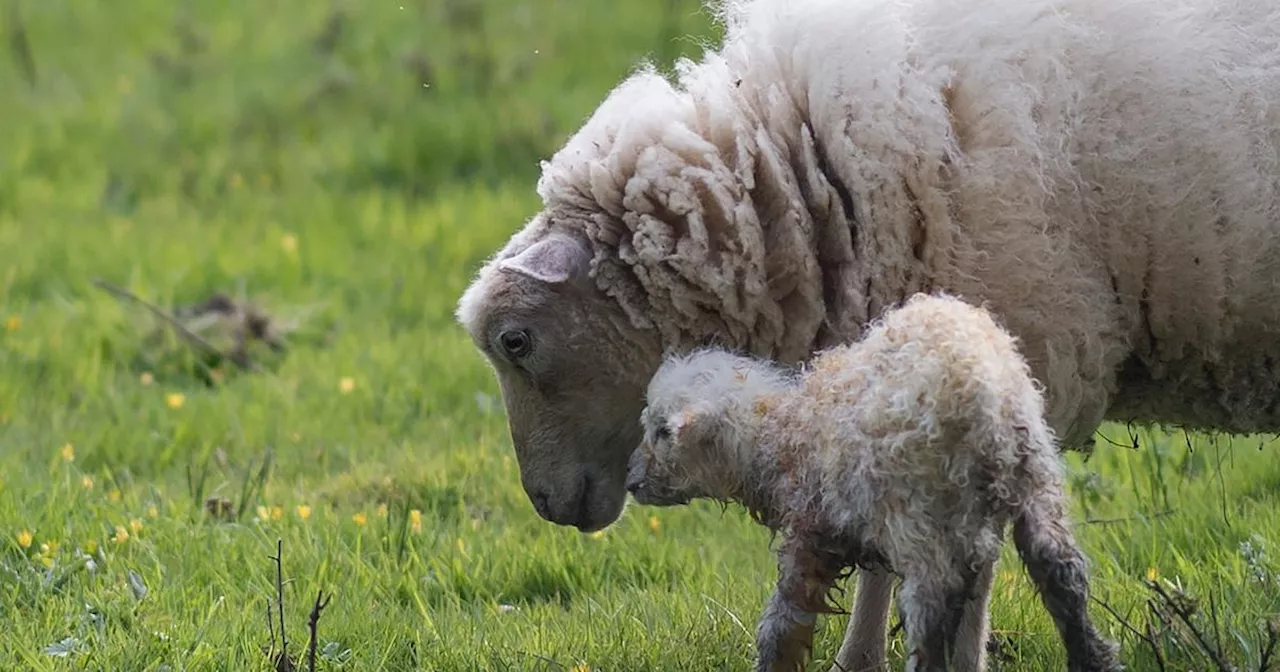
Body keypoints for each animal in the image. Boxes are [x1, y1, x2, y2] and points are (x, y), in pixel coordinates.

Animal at [627, 291, 1121, 670]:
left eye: (662, 431)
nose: (631, 482)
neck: (782, 433)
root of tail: (981, 393)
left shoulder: (810, 531)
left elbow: (782, 623)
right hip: (1034, 479)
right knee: (1062, 574)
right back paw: (1095, 659)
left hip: (922, 516)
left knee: (929, 612)